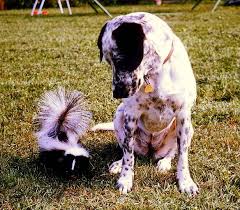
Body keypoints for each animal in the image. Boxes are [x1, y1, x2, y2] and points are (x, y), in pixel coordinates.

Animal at [93, 11, 200, 195]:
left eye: (122, 60)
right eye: (109, 62)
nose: (117, 93)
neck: (155, 73)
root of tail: (151, 150)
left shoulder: (183, 115)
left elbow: (182, 156)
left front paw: (185, 182)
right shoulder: (130, 115)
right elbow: (128, 156)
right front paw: (125, 179)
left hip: (189, 129)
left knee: (172, 152)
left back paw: (164, 162)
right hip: (119, 115)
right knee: (127, 150)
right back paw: (118, 164)